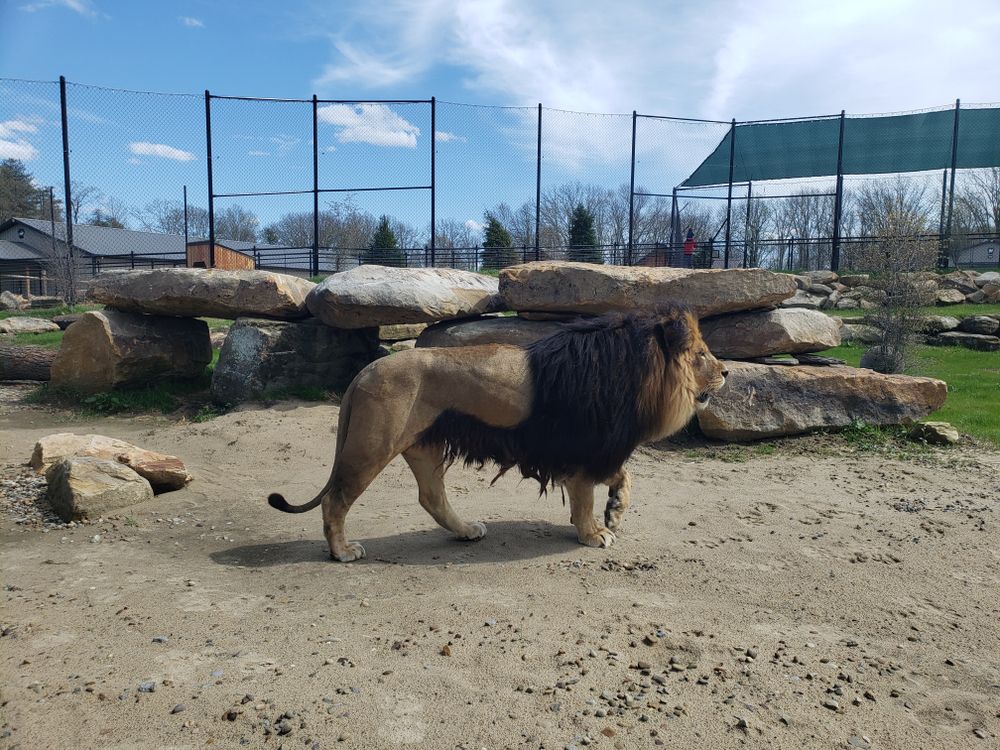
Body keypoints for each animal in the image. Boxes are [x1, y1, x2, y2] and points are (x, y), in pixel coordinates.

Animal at [268, 308, 728, 561]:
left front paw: (615, 511)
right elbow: (585, 499)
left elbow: (623, 477)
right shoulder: (583, 451)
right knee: (336, 500)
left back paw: (467, 530)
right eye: (702, 354)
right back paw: (342, 552)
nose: (727, 371)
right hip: (371, 446)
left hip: (422, 447)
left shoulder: (598, 449)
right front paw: (594, 533)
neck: (634, 370)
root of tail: (364, 371)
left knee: (431, 497)